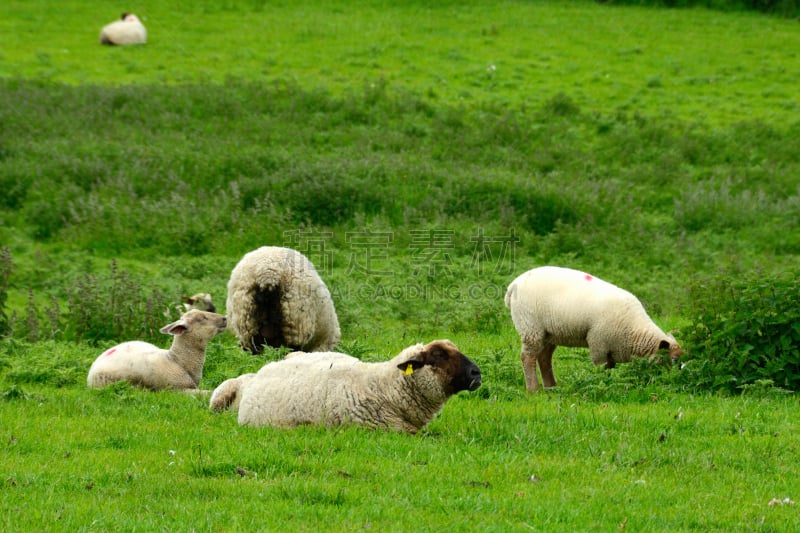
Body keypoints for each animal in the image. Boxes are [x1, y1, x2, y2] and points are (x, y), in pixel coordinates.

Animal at [506, 264, 680, 390]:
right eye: (674, 359)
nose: (673, 381)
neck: (634, 330)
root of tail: (514, 284)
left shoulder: (612, 349)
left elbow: (610, 368)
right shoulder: (599, 343)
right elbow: (601, 367)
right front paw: (601, 383)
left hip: (549, 332)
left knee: (544, 357)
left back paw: (551, 387)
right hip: (531, 327)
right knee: (528, 357)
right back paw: (533, 389)